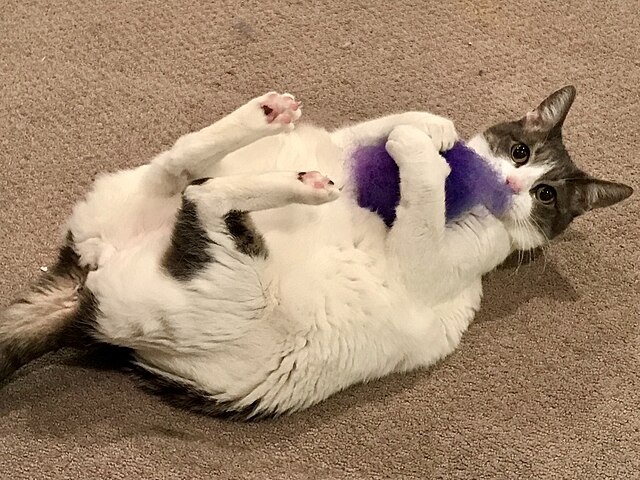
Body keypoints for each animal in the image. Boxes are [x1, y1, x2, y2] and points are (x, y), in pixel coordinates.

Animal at [0, 88, 632, 418]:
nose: (509, 183)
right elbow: (385, 126)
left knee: (200, 193)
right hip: (165, 194)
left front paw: (417, 152)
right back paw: (271, 120)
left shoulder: (430, 265)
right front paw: (432, 128)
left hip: (236, 278)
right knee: (182, 164)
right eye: (520, 150)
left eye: (547, 195)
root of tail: (85, 291)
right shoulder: (349, 144)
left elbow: (423, 193)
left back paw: (303, 181)